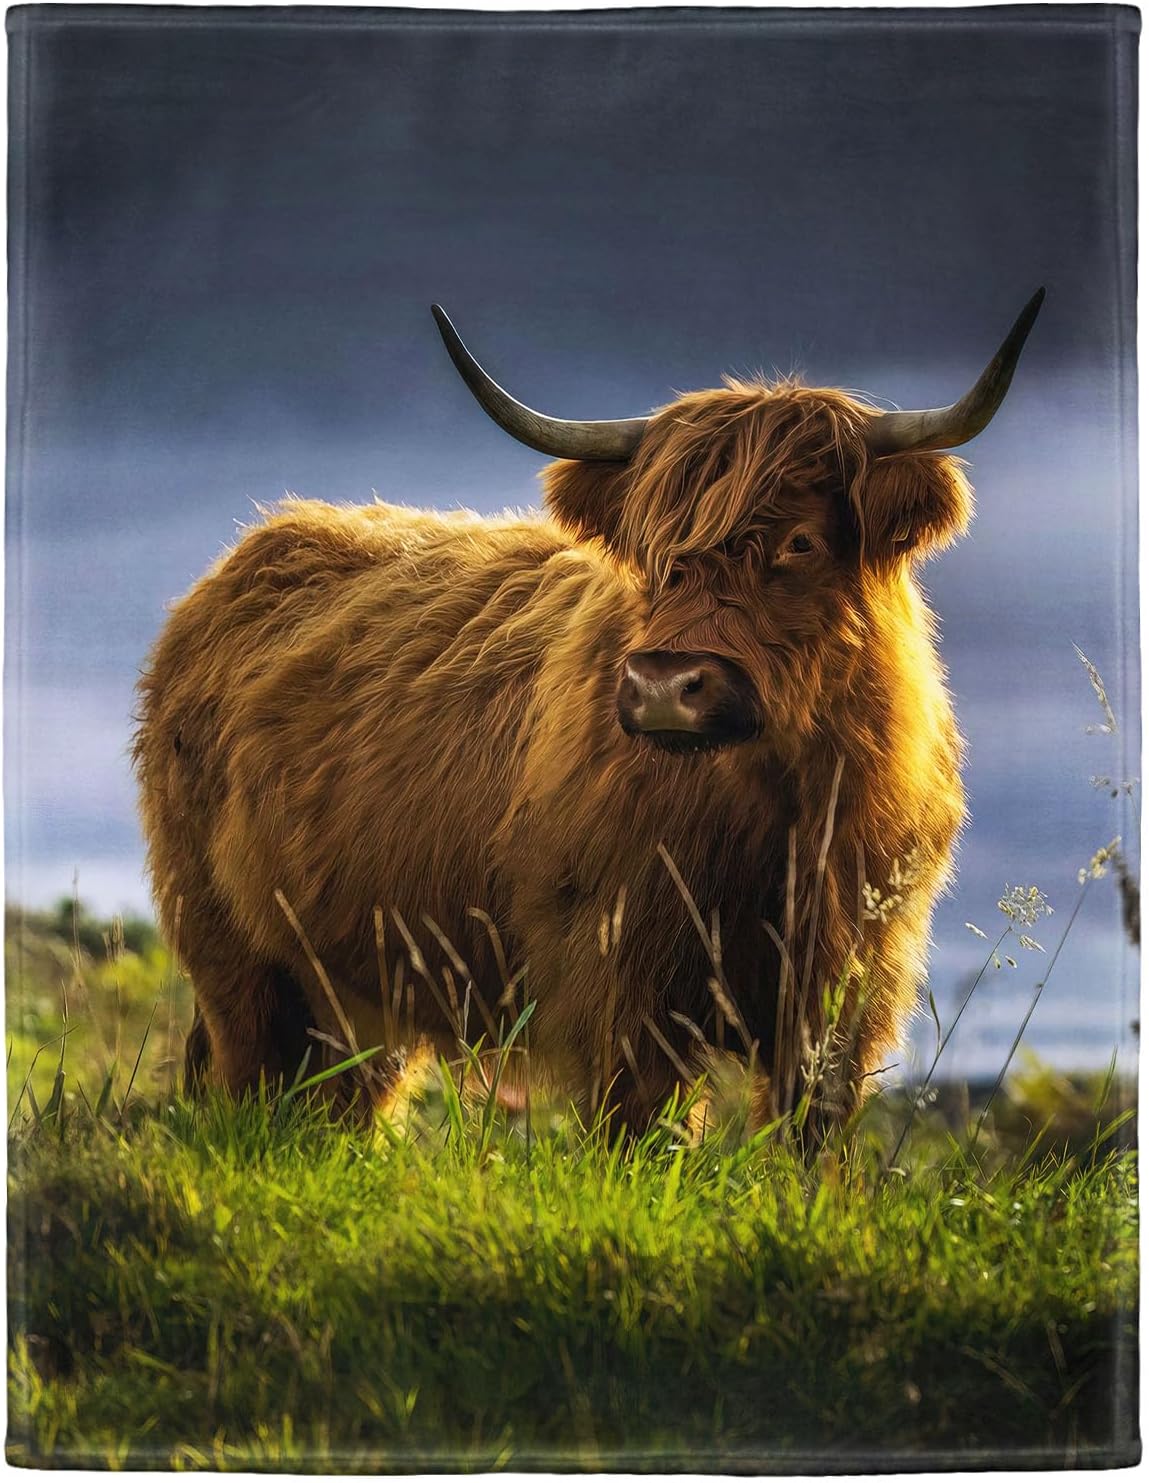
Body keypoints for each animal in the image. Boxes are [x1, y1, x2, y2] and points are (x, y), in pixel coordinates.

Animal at [133, 290, 1043, 1131]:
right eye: (650, 549)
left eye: (799, 542)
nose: (665, 685)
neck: (782, 811)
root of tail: (260, 541)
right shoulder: (626, 985)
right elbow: (641, 1135)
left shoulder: (847, 990)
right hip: (232, 953)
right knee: (252, 1085)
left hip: (358, 988)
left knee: (341, 1104)